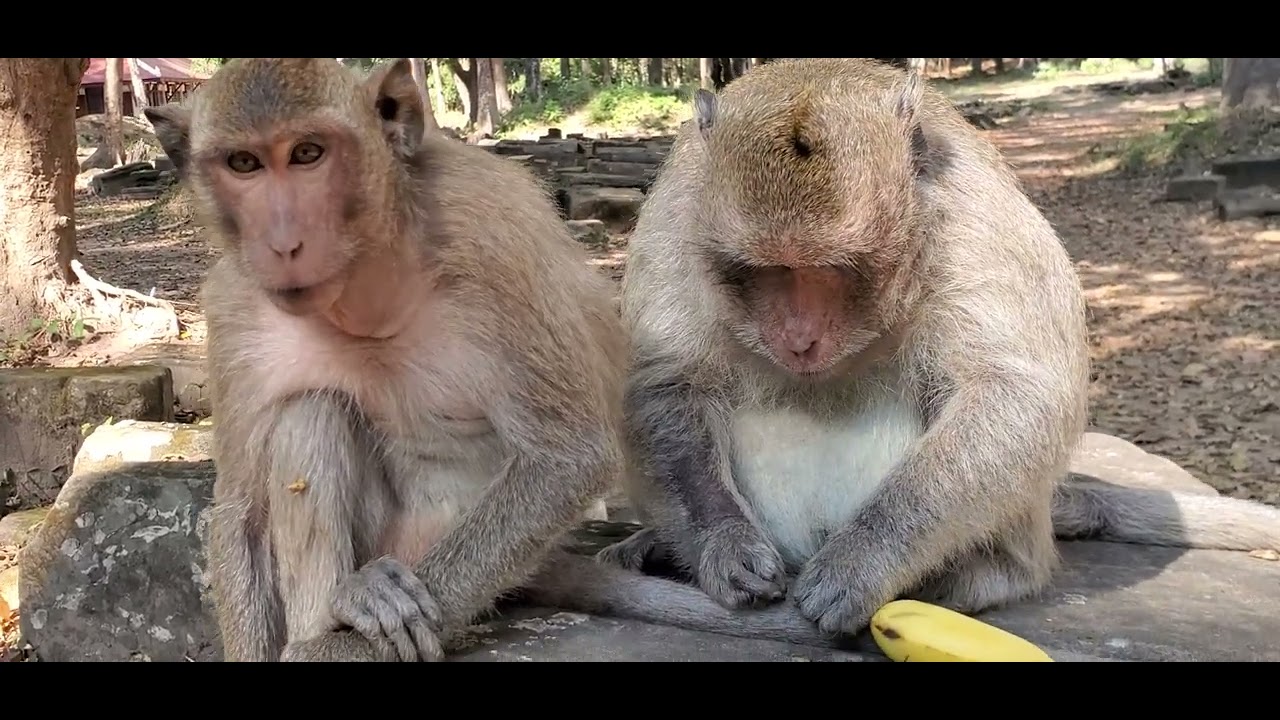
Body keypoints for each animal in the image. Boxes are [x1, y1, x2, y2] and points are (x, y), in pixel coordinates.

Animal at [143, 57, 628, 662]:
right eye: (244, 163)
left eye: (307, 153)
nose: (282, 244)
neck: (369, 276)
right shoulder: (236, 307)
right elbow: (241, 513)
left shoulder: (496, 238)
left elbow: (567, 459)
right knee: (311, 410)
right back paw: (349, 601)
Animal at [522, 57, 1280, 648]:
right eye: (764, 271)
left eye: (835, 270)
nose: (800, 337)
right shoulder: (678, 212)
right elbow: (664, 380)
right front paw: (721, 546)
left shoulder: (971, 215)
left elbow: (1016, 390)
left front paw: (867, 560)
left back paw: (969, 571)